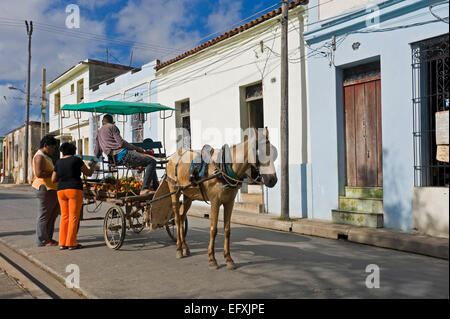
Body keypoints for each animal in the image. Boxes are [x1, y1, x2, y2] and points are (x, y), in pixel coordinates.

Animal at [165, 127, 278, 270]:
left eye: (273, 152)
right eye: (261, 153)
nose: (273, 180)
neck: (224, 167)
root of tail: (173, 156)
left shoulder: (229, 202)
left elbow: (227, 230)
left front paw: (228, 259)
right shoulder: (215, 202)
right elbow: (213, 230)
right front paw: (212, 259)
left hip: (188, 195)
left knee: (181, 216)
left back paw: (185, 247)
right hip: (174, 191)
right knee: (177, 219)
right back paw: (179, 249)